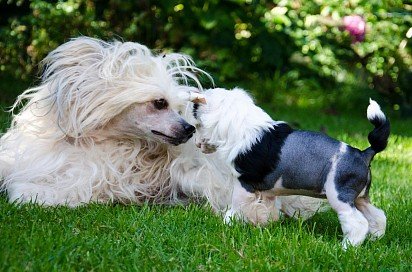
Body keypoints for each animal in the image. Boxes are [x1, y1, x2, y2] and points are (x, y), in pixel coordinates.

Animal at [193, 87, 390, 249]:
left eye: (197, 126)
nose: (196, 145)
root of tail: (364, 153)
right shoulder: (267, 191)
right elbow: (265, 209)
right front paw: (263, 223)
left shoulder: (244, 184)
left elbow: (236, 206)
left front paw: (228, 223)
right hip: (360, 198)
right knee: (378, 216)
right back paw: (375, 238)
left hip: (339, 196)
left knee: (358, 222)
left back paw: (347, 246)